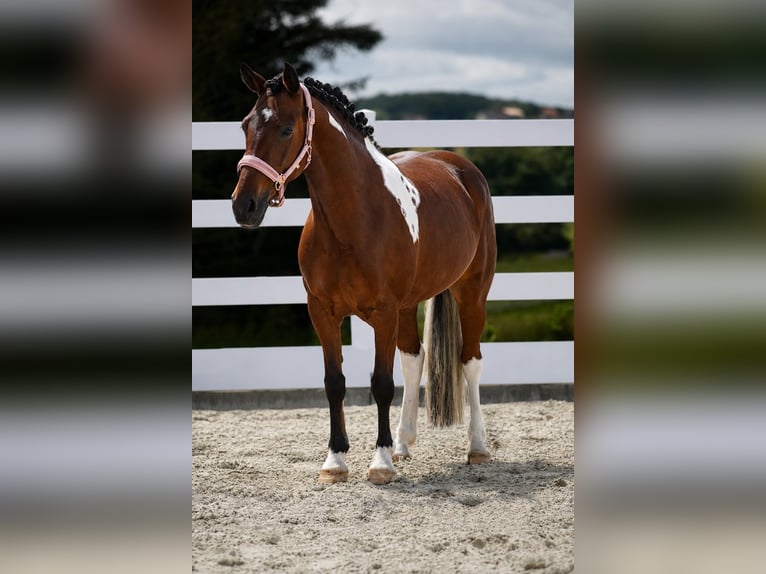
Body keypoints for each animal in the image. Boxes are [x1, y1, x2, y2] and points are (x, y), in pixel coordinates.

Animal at [232, 62, 496, 485]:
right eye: (245, 125)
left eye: (287, 129)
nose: (244, 206)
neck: (355, 220)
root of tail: (460, 168)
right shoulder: (322, 311)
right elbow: (335, 383)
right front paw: (335, 461)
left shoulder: (383, 313)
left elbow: (381, 384)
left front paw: (380, 463)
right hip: (408, 307)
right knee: (414, 359)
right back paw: (403, 443)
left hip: (472, 292)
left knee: (470, 361)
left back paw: (477, 447)